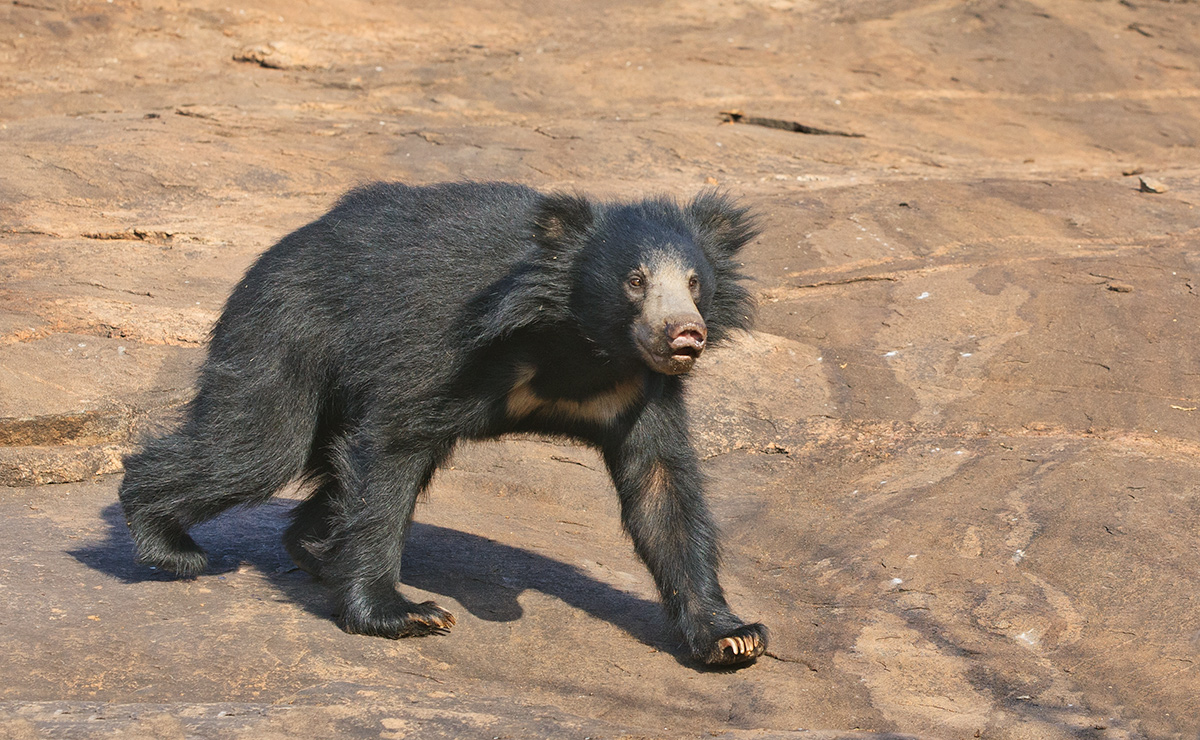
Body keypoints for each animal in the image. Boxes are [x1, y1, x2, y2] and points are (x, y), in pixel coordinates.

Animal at [117, 181, 769, 667]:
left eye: (694, 283)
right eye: (635, 281)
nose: (685, 335)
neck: (582, 342)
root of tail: (295, 237)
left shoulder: (638, 387)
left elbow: (662, 490)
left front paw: (733, 636)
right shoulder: (455, 345)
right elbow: (393, 443)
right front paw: (406, 613)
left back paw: (314, 550)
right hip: (287, 324)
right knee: (258, 445)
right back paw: (168, 546)